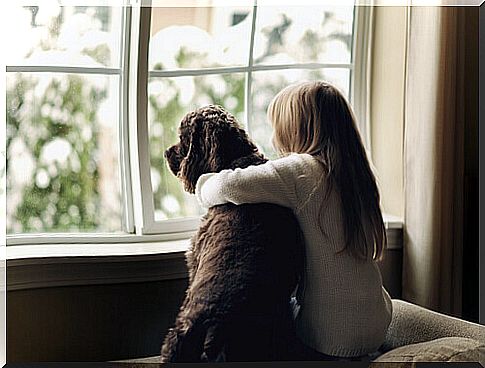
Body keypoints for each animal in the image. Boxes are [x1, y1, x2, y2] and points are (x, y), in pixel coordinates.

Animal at [162, 104, 302, 362]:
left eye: (182, 138)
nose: (166, 152)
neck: (235, 161)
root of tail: (217, 325)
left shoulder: (194, 257)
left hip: (177, 339)